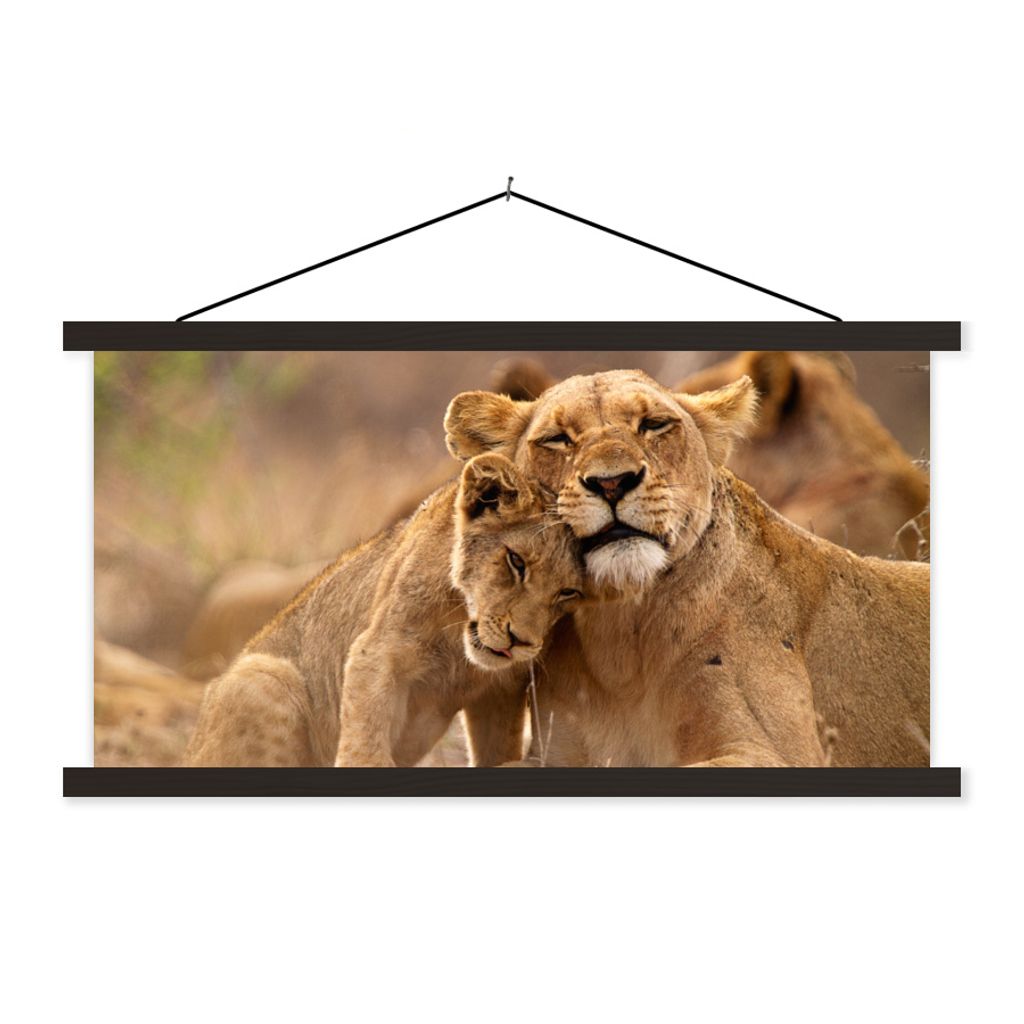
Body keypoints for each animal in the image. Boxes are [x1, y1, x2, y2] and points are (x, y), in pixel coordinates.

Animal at [185, 453, 584, 767]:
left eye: (568, 592)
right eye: (516, 561)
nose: (520, 642)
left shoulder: (500, 689)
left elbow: (498, 750)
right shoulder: (376, 652)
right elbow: (366, 746)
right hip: (261, 677)